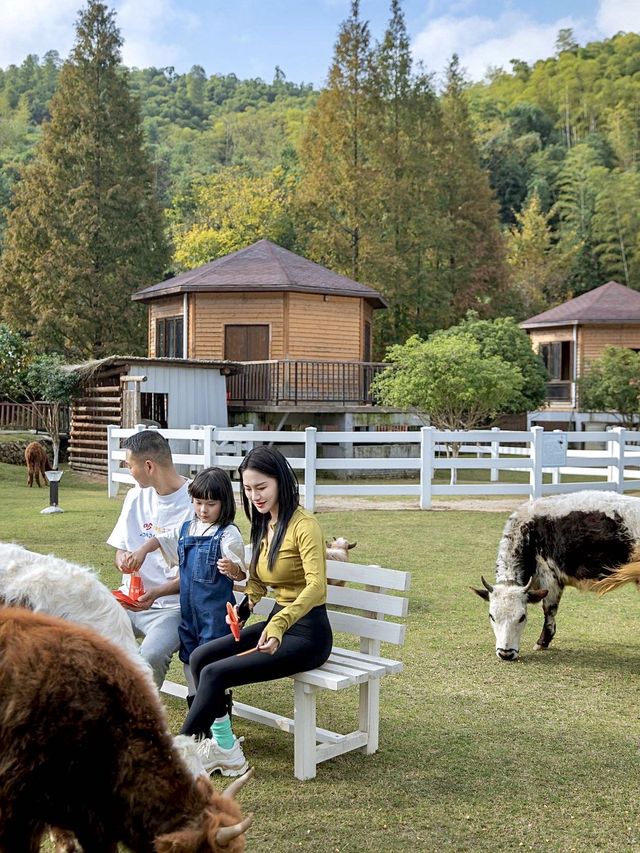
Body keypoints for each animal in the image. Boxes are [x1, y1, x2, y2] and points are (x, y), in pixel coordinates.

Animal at [470, 492, 640, 660]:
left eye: (522, 617)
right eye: (491, 616)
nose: (506, 653)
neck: (530, 533)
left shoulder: (550, 579)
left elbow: (549, 610)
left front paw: (542, 642)